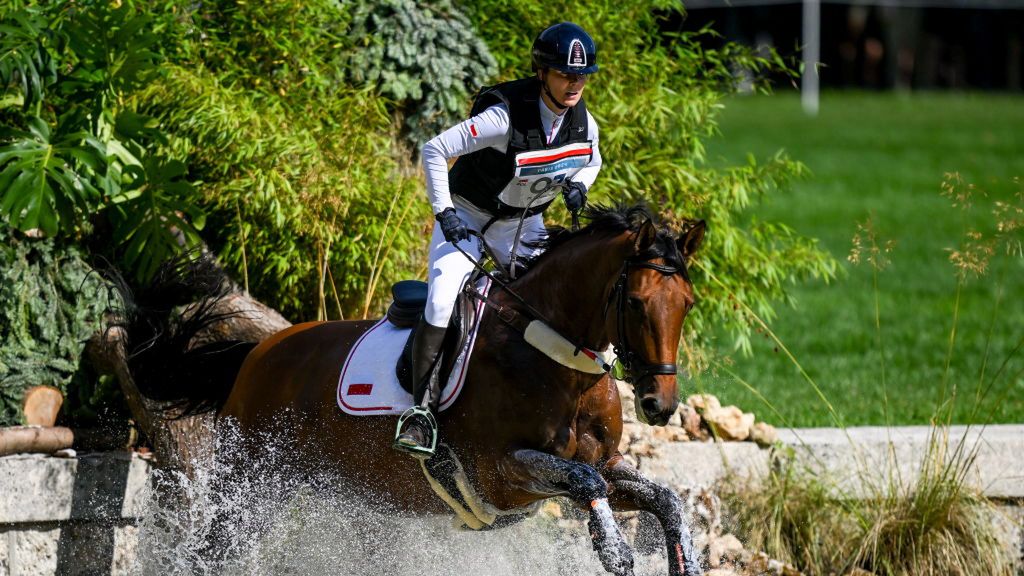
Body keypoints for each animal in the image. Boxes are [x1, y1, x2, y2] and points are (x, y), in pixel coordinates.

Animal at [119, 203, 704, 569]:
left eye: (687, 304)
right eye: (636, 303)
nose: (659, 404)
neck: (553, 357)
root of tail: (258, 352)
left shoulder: (607, 463)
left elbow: (664, 499)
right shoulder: (501, 473)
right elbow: (585, 483)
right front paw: (614, 550)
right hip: (248, 485)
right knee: (210, 550)